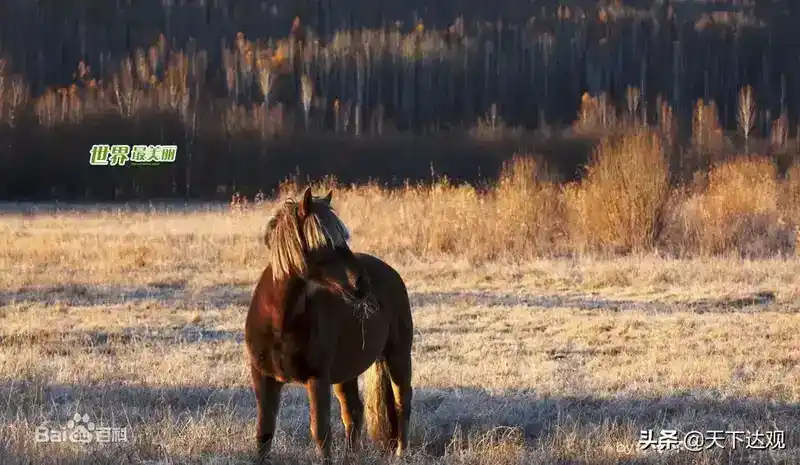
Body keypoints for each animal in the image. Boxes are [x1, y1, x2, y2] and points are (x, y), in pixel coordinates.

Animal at [245, 187, 416, 462]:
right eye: (323, 242)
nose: (362, 284)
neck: (280, 322)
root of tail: (390, 272)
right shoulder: (264, 377)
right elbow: (264, 433)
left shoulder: (318, 379)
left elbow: (321, 433)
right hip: (346, 371)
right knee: (354, 412)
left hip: (397, 355)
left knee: (402, 403)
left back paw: (401, 452)